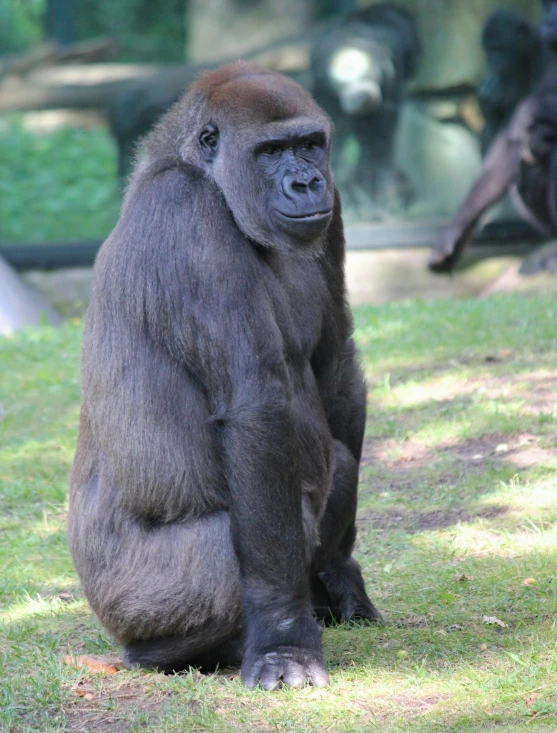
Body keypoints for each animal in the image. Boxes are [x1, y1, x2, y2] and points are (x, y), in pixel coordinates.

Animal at [67, 60, 380, 688]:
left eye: (310, 144)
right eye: (271, 151)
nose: (306, 183)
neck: (208, 178)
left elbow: (335, 368)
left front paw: (340, 573)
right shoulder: (189, 217)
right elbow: (257, 408)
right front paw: (285, 639)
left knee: (338, 455)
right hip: (124, 598)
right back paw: (170, 651)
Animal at [430, 1, 557, 270]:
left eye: (499, 49)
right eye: (548, 5)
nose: (550, 19)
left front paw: (534, 106)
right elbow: (507, 146)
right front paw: (458, 227)